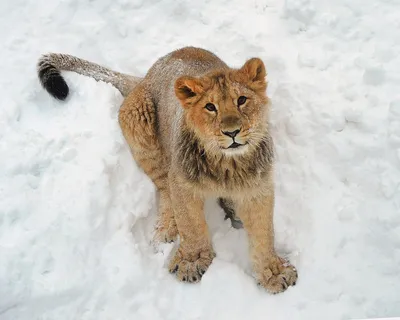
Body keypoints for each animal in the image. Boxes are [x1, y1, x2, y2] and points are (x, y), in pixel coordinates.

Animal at [37, 46, 298, 294]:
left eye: (242, 100)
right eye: (210, 107)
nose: (232, 132)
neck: (227, 164)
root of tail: (144, 78)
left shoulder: (258, 189)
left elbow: (264, 234)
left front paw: (274, 273)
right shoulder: (181, 181)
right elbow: (190, 224)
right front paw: (191, 261)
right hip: (142, 131)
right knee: (164, 188)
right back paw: (165, 230)